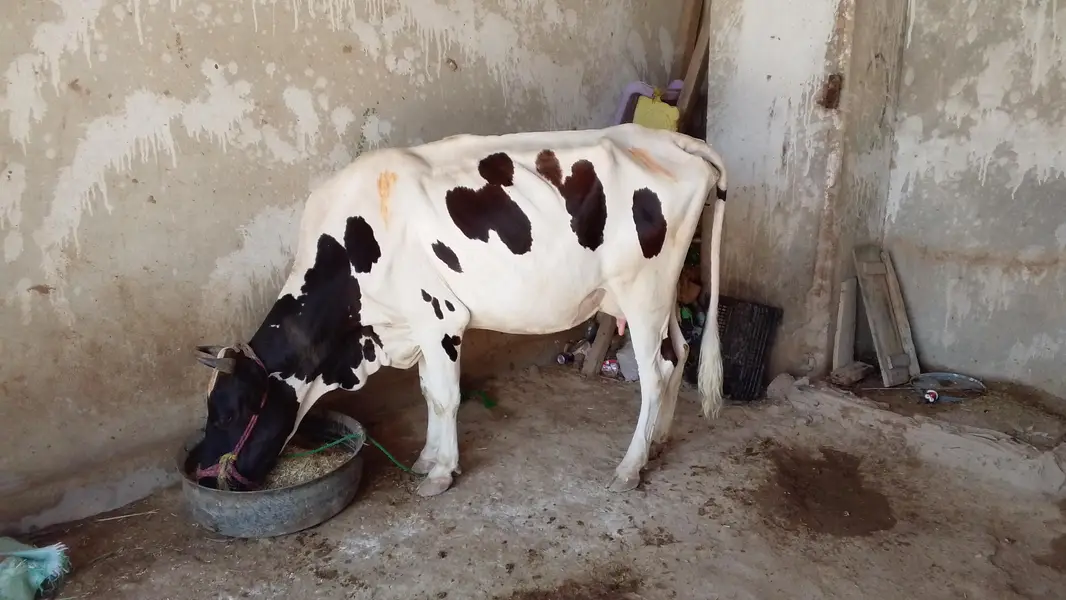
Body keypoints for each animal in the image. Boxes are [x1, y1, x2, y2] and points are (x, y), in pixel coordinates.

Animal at [191, 123, 728, 497]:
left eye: (228, 412)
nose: (204, 470)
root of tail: (672, 140)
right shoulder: (414, 325)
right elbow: (429, 392)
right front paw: (428, 458)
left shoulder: (439, 318)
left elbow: (446, 397)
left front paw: (442, 473)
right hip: (660, 293)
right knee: (679, 353)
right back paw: (658, 441)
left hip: (642, 290)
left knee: (657, 372)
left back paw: (630, 467)